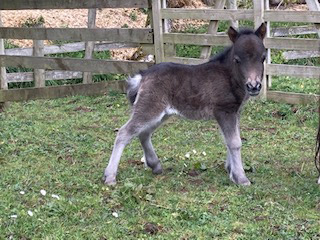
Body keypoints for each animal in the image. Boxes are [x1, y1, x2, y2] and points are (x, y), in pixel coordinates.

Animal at [104, 23, 266, 186]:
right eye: (237, 59)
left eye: (263, 58)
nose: (254, 86)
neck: (229, 76)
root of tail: (143, 75)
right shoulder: (224, 111)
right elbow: (234, 142)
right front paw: (240, 177)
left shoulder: (235, 112)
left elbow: (230, 139)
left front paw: (230, 169)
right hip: (150, 108)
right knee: (124, 133)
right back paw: (110, 176)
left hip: (161, 114)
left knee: (144, 133)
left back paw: (155, 165)